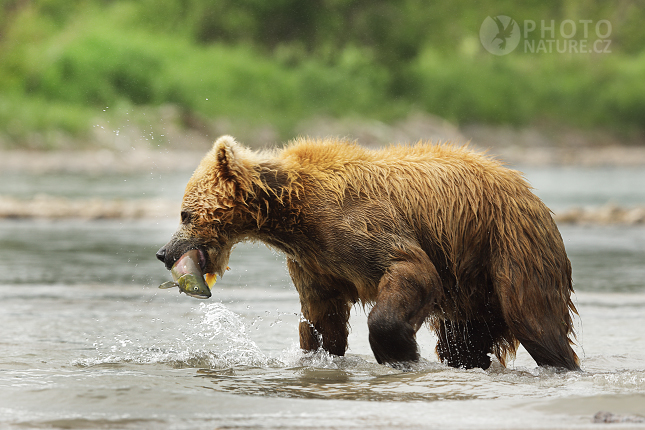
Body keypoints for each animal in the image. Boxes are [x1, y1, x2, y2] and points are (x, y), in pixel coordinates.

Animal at [156, 136, 580, 372]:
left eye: (185, 213)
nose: (163, 252)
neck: (291, 213)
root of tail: (529, 191)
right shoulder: (315, 262)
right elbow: (321, 320)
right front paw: (318, 356)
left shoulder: (357, 225)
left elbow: (409, 269)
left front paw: (401, 351)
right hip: (471, 288)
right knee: (463, 342)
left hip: (509, 247)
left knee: (536, 321)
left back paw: (563, 364)